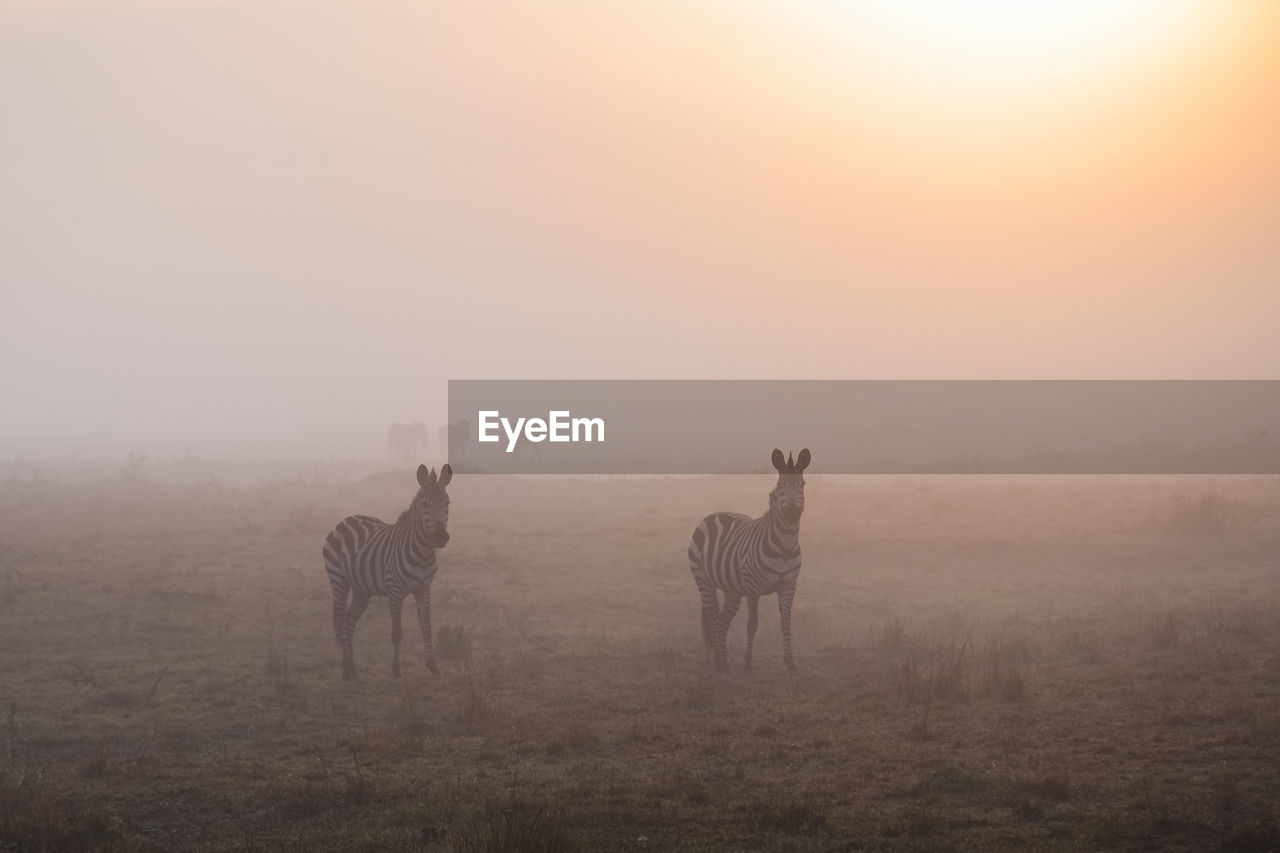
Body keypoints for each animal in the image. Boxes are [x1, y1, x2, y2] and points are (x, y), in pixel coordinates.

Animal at [322, 461, 453, 681]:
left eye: (447, 503)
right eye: (425, 504)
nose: (441, 538)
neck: (423, 554)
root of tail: (346, 519)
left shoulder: (424, 588)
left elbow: (427, 627)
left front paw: (432, 665)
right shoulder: (395, 590)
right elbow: (396, 632)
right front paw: (396, 668)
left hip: (361, 589)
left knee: (349, 620)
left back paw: (351, 667)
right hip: (338, 579)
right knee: (340, 620)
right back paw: (346, 671)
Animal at [691, 445, 808, 671]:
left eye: (803, 484)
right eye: (780, 484)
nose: (791, 512)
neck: (784, 547)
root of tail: (715, 514)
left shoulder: (789, 585)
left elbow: (786, 623)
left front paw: (790, 662)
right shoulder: (753, 587)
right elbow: (753, 624)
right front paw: (747, 661)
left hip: (732, 590)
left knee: (722, 622)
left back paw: (722, 660)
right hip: (704, 581)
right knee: (713, 619)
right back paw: (721, 664)